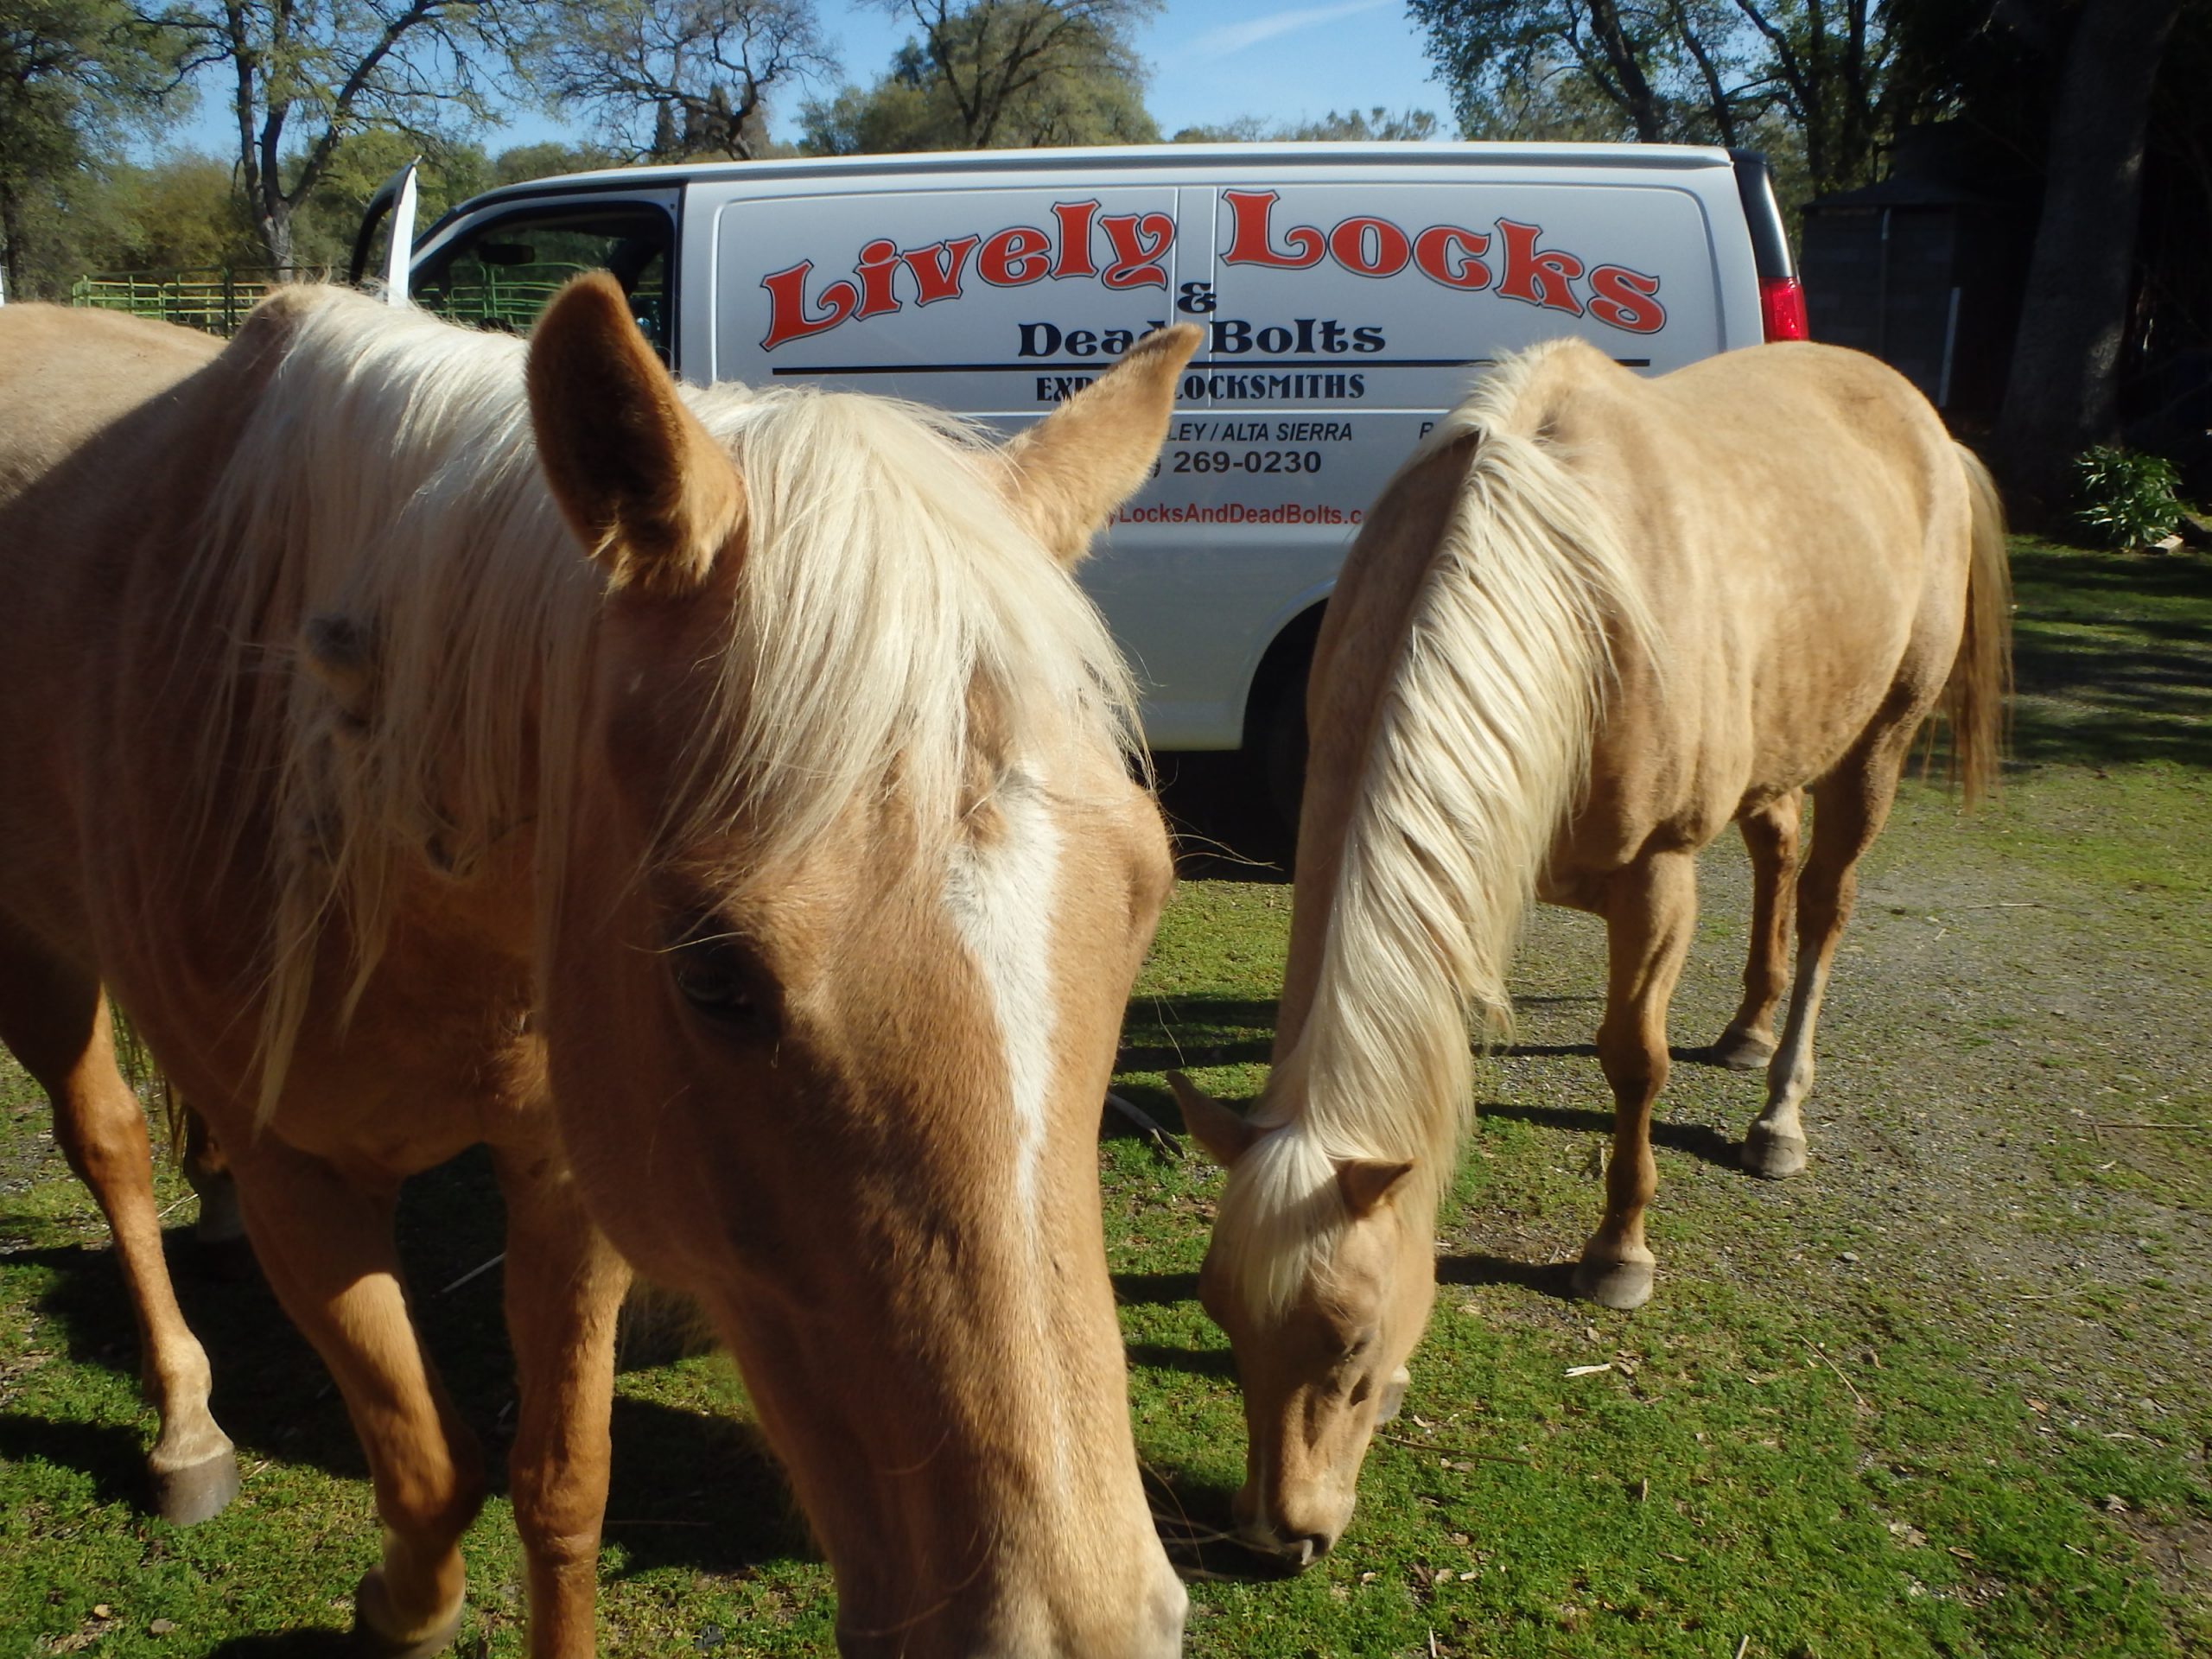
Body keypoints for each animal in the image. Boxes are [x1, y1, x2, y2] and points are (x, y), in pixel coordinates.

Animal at [0, 279, 1203, 1654]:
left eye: (1145, 903)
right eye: (713, 975)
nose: (1082, 1626)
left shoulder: (569, 1174)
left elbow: (562, 1486)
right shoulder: (306, 1181)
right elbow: (429, 1471)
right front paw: (399, 1608)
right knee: (107, 1142)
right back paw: (186, 1425)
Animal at [1176, 340, 2008, 1574]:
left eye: (1353, 1343)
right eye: (1221, 1320)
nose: (1281, 1537)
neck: (1562, 602)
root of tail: (1920, 417)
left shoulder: (1656, 875)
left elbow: (1632, 1063)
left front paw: (1619, 1255)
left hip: (1883, 738)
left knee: (1825, 907)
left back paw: (1779, 1113)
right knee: (1778, 848)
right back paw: (1745, 1029)